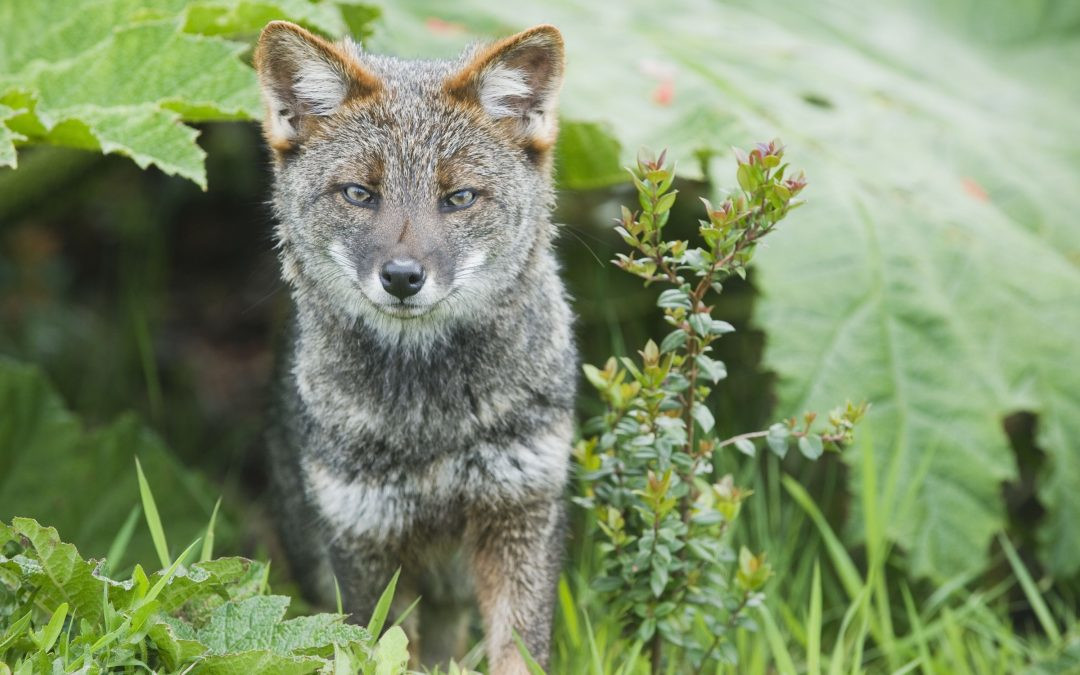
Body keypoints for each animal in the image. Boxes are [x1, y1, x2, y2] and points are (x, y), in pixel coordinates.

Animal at [253, 18, 578, 669]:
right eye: (359, 193)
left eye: (459, 198)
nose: (402, 277)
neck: (432, 423)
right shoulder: (367, 539)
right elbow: (381, 649)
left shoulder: (522, 512)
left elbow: (519, 651)